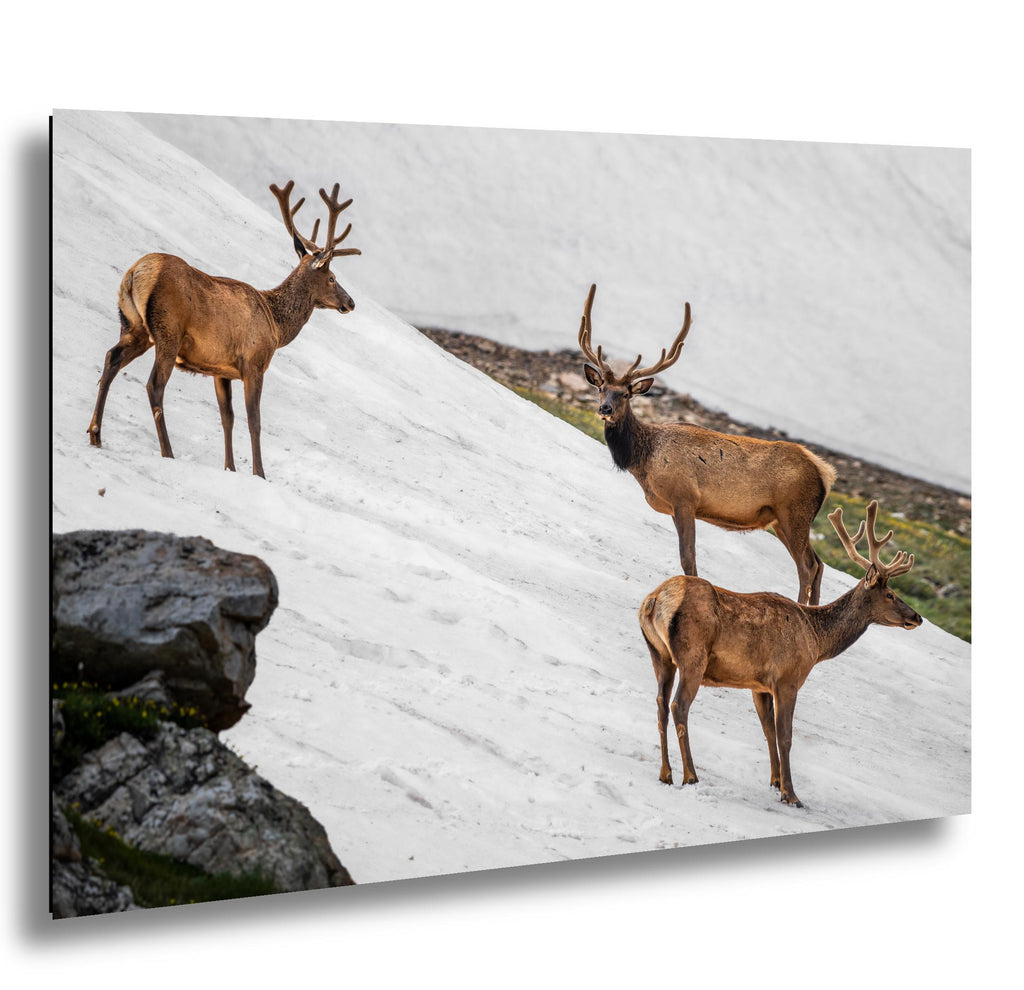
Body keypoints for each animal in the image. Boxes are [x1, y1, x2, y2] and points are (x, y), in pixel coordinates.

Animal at [86, 180, 361, 479]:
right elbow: (254, 421)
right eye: (332, 278)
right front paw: (259, 473)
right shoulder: (253, 363)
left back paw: (95, 434)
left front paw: (229, 467)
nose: (351, 302)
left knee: (111, 358)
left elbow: (227, 417)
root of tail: (134, 273)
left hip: (134, 326)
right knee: (154, 385)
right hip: (168, 331)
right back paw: (167, 452)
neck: (276, 326)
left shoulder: (221, 369)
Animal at [578, 284, 837, 605]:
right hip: (783, 520)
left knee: (806, 566)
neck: (644, 460)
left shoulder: (684, 498)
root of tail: (825, 473)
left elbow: (688, 559)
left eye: (626, 394)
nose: (605, 409)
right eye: (601, 388)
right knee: (818, 564)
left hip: (794, 513)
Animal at [638, 499, 922, 807]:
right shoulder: (787, 679)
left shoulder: (759, 685)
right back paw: (690, 775)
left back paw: (665, 774)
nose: (917, 617)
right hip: (693, 657)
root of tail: (654, 601)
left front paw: (775, 782)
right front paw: (791, 794)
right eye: (891, 595)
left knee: (660, 704)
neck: (816, 640)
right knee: (679, 706)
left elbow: (768, 730)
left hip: (660, 656)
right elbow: (785, 736)